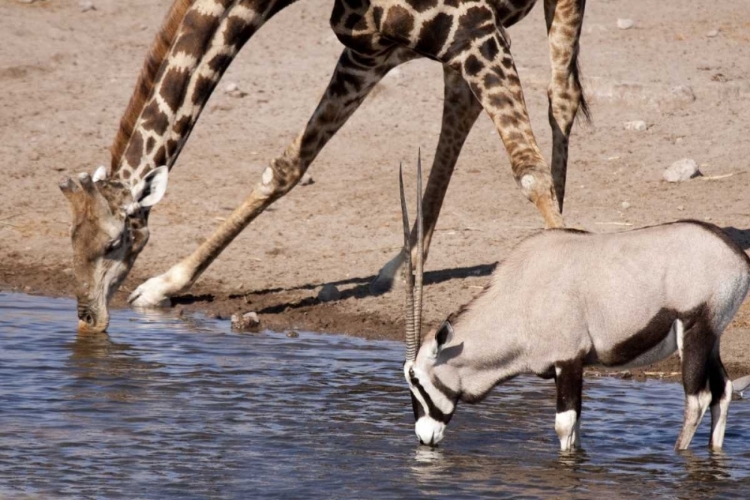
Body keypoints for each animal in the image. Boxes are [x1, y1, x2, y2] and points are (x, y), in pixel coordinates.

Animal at [60, 0, 588, 336]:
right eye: (71, 241)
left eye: (113, 243)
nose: (87, 317)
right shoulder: (368, 54)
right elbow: (287, 166)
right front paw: (165, 284)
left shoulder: (474, 31)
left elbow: (529, 171)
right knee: (465, 105)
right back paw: (401, 266)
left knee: (560, 98)